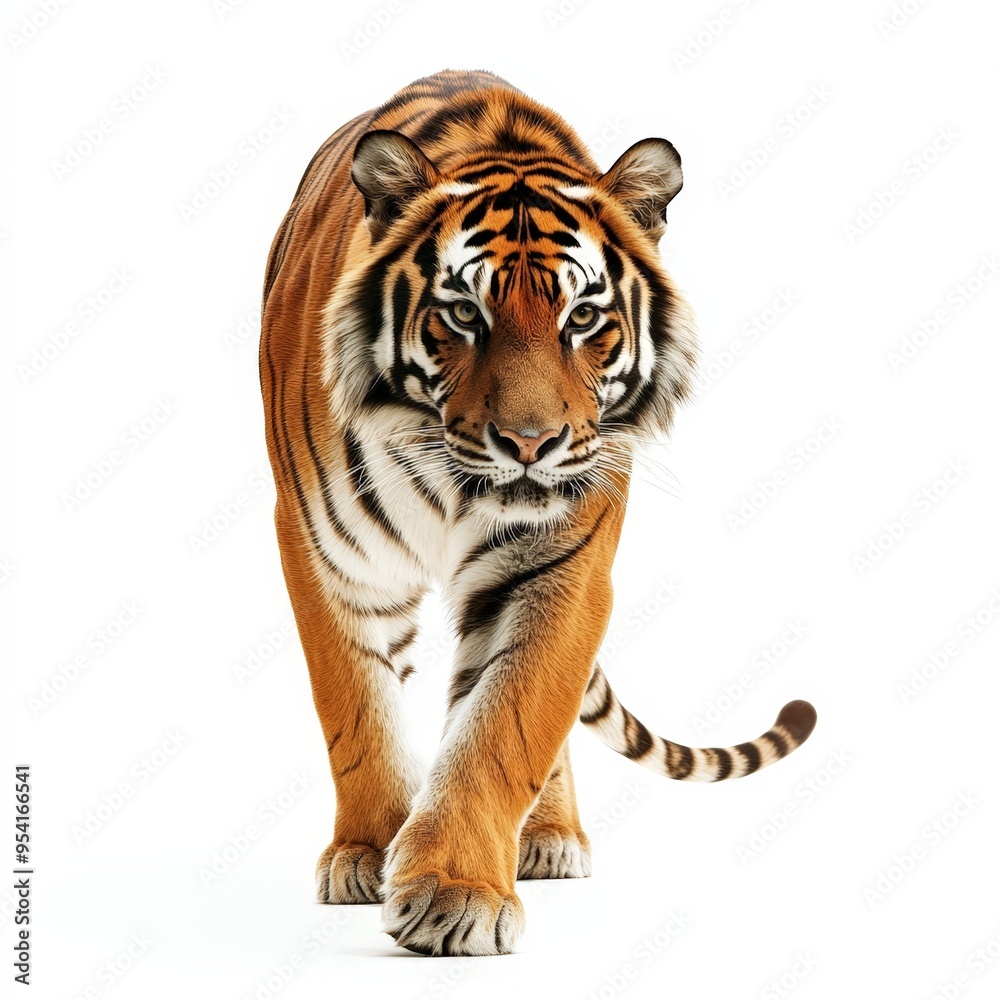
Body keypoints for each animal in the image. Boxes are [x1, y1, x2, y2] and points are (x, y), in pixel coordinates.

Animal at [259, 68, 816, 957]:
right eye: (462, 314)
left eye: (582, 318)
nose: (530, 443)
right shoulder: (326, 555)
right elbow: (356, 708)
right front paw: (370, 853)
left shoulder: (560, 567)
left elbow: (507, 722)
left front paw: (455, 891)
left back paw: (547, 838)